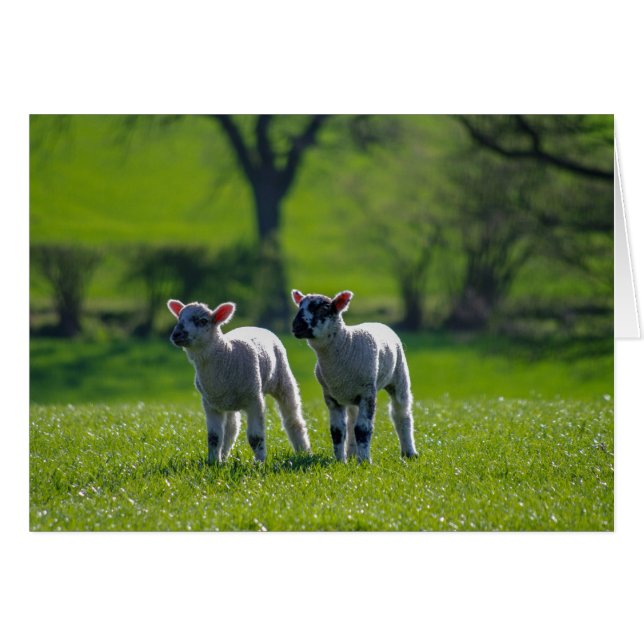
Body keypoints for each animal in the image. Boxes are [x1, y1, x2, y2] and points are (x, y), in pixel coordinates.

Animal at [167, 299, 310, 464]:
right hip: (227, 401)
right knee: (231, 428)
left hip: (283, 378)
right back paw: (224, 456)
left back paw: (303, 451)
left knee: (293, 419)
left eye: (203, 321)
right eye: (179, 318)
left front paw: (259, 463)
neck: (227, 356)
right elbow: (214, 438)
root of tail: (256, 326)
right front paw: (213, 462)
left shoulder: (254, 400)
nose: (176, 334)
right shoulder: (210, 404)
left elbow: (255, 437)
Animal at [291, 289, 417, 464]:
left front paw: (364, 462)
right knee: (351, 422)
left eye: (324, 308)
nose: (296, 326)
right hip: (351, 395)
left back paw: (409, 452)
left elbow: (363, 429)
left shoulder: (367, 393)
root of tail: (377, 322)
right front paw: (340, 461)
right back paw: (351, 453)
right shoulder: (331, 397)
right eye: (299, 306)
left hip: (399, 377)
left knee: (401, 413)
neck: (346, 344)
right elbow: (337, 431)